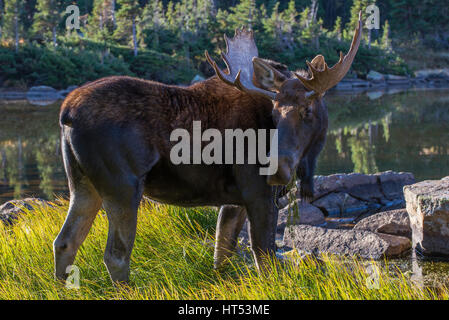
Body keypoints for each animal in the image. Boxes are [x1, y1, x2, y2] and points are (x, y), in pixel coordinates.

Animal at [53, 14, 360, 282]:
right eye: (274, 112)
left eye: (308, 109)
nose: (275, 169)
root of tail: (66, 113)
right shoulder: (259, 194)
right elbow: (265, 259)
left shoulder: (235, 200)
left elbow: (221, 254)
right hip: (122, 186)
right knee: (116, 254)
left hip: (82, 185)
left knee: (64, 242)